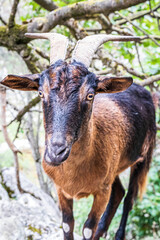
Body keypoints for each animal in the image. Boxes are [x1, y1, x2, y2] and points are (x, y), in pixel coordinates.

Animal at [0, 32, 156, 240]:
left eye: (90, 95)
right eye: (41, 93)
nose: (56, 152)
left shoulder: (101, 192)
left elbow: (88, 228)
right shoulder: (61, 190)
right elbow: (68, 225)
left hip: (142, 157)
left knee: (129, 198)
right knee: (119, 192)